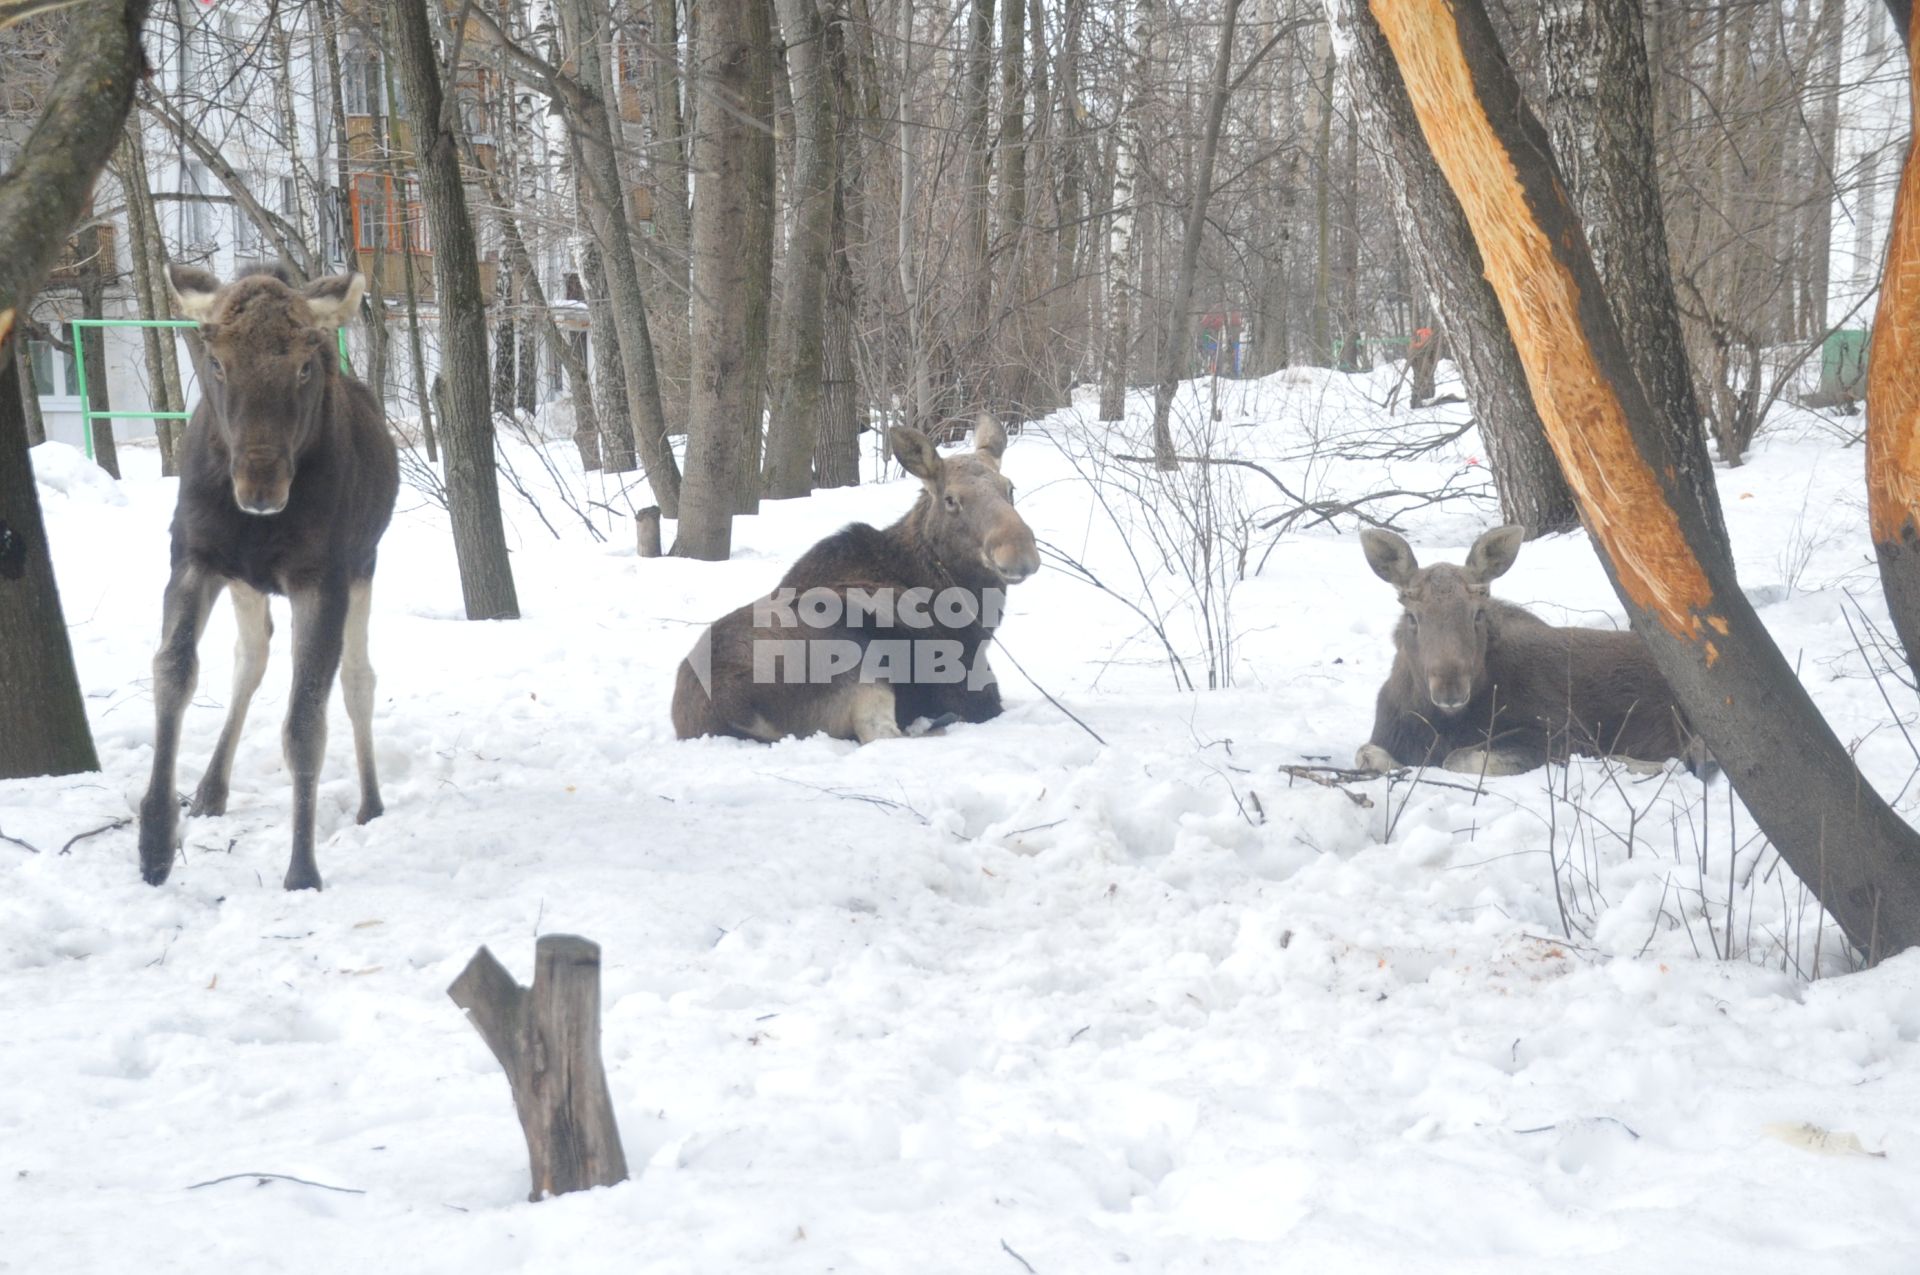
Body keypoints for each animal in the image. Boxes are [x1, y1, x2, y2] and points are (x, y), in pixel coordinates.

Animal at [141, 263, 401, 890]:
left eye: (305, 364)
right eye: (216, 361)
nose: (260, 487)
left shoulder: (321, 579)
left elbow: (306, 722)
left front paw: (302, 869)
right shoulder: (194, 556)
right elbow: (173, 671)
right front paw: (154, 840)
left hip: (363, 568)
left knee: (358, 680)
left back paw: (371, 801)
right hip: (245, 583)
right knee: (250, 658)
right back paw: (210, 789)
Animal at [672, 418, 1036, 741]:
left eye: (1010, 488)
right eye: (951, 499)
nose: (1020, 553)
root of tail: (732, 706)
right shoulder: (972, 683)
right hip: (861, 663)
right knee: (881, 735)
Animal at [1351, 526, 1712, 775]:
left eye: (1478, 613)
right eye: (1412, 616)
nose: (1449, 688)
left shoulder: (1560, 733)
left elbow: (1458, 757)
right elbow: (1365, 754)